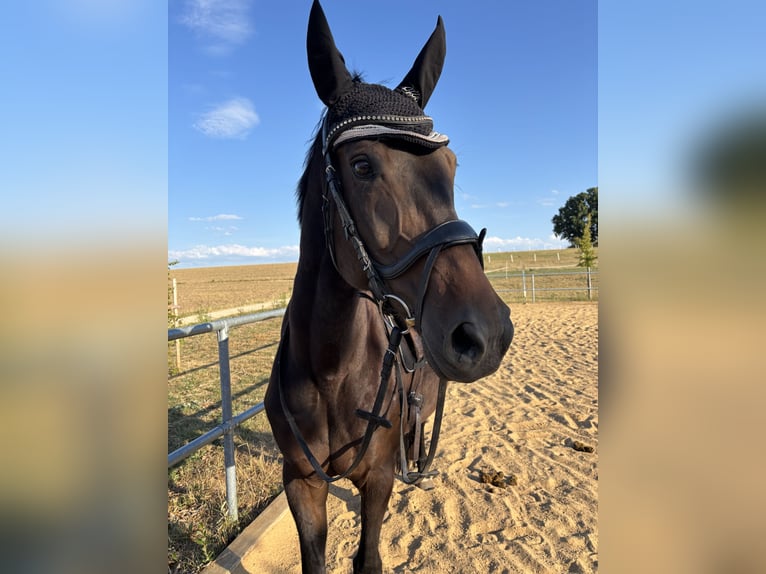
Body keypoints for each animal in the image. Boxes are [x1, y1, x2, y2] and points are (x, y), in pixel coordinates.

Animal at [264, 2, 514, 572]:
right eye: (362, 165)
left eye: (451, 166)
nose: (486, 333)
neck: (330, 369)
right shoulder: (301, 482)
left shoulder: (375, 479)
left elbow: (369, 556)